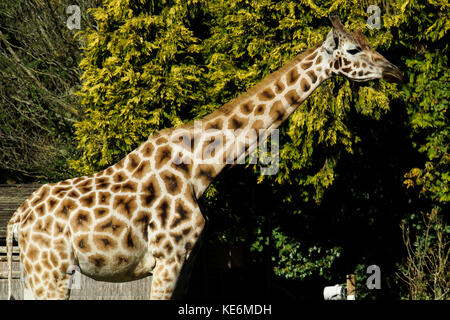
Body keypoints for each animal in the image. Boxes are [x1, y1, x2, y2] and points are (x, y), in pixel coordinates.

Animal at [6, 15, 400, 300]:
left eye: (368, 43)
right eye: (353, 50)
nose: (395, 70)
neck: (199, 170)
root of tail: (16, 221)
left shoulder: (189, 260)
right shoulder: (167, 257)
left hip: (34, 274)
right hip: (53, 272)